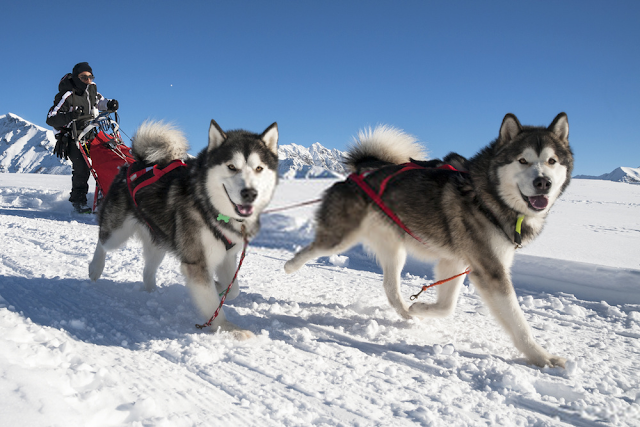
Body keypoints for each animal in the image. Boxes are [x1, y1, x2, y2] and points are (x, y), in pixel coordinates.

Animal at [89, 118, 278, 340]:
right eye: (232, 167)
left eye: (259, 168)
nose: (249, 193)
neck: (209, 206)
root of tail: (133, 162)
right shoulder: (196, 262)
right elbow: (214, 304)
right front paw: (228, 327)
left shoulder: (227, 255)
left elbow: (234, 289)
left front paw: (218, 286)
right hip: (118, 232)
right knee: (103, 241)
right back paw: (95, 268)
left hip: (158, 242)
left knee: (147, 271)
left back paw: (153, 293)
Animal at [288, 113, 572, 368]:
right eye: (523, 160)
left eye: (552, 161)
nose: (543, 182)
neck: (487, 194)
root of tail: (360, 174)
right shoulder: (490, 270)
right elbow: (517, 320)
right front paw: (542, 357)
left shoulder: (456, 262)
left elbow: (447, 306)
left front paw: (419, 308)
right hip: (340, 238)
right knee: (311, 249)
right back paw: (289, 266)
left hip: (394, 250)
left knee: (391, 289)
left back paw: (407, 313)